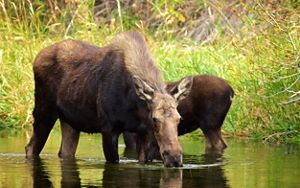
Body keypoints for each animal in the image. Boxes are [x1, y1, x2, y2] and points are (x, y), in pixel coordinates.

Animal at [26, 31, 195, 167]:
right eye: (154, 119)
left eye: (179, 118)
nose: (174, 158)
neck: (135, 107)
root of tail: (36, 58)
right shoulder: (108, 128)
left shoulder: (143, 133)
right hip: (44, 112)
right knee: (30, 147)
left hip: (70, 122)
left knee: (64, 152)